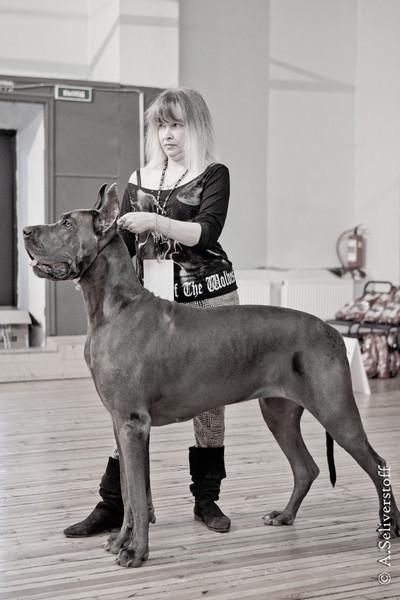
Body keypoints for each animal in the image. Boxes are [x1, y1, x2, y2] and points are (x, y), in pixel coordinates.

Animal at [23, 183, 400, 568]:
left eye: (67, 223)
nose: (25, 231)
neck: (115, 309)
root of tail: (334, 332)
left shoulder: (133, 424)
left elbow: (139, 498)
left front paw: (138, 552)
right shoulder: (120, 424)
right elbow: (130, 492)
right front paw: (121, 541)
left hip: (335, 410)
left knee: (378, 463)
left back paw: (389, 527)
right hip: (278, 412)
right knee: (306, 467)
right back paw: (284, 516)